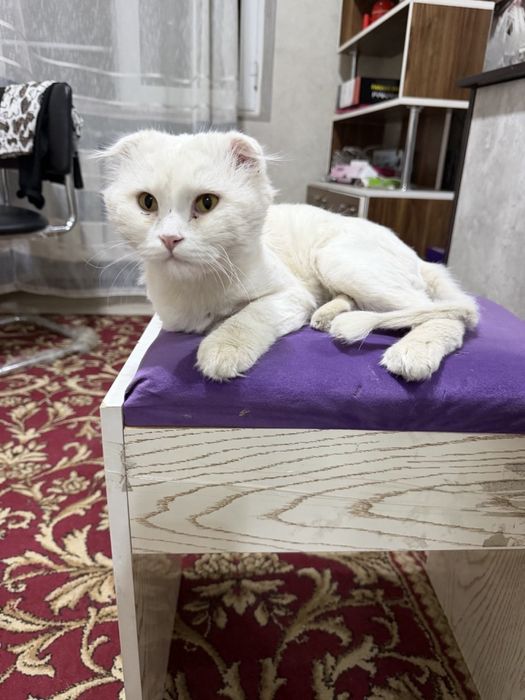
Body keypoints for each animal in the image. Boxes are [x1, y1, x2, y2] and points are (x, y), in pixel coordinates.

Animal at [101, 129, 478, 382]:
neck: (200, 284)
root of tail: (419, 257)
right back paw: (326, 317)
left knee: (448, 316)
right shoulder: (177, 321)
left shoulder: (289, 295)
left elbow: (246, 317)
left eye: (207, 203)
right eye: (147, 202)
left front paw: (222, 348)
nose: (169, 239)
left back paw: (412, 353)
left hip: (338, 260)